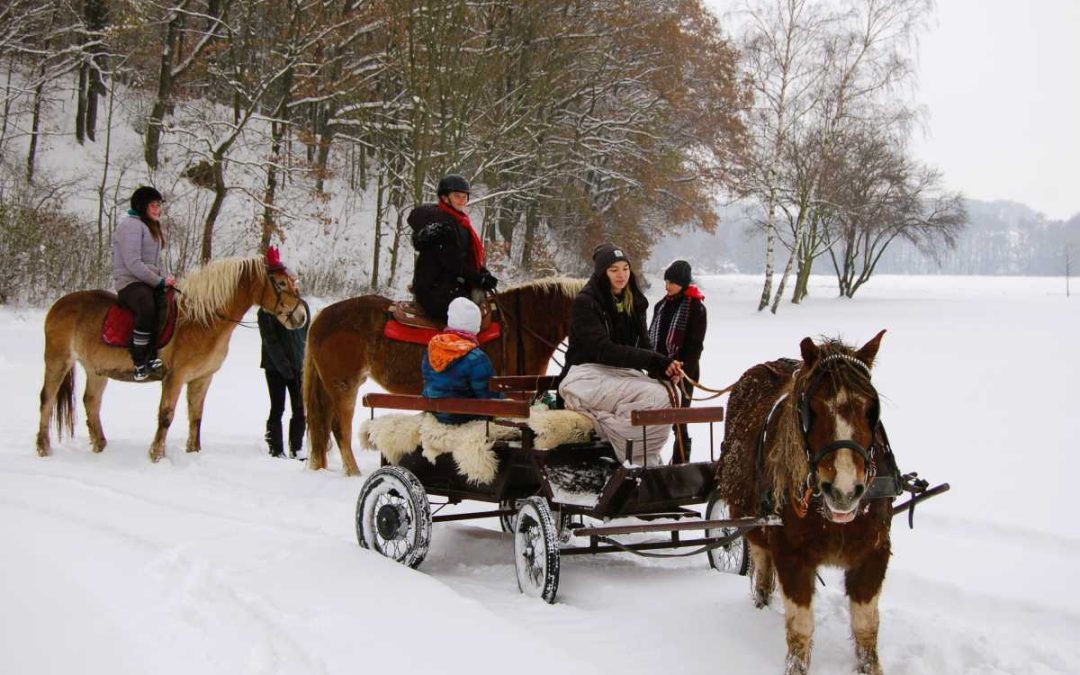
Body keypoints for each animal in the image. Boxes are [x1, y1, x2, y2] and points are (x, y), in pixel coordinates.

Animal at [37, 252, 306, 462]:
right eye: (281, 283)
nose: (301, 316)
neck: (202, 319)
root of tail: (58, 304)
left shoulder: (202, 378)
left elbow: (196, 415)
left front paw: (194, 452)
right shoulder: (175, 377)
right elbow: (166, 414)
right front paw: (156, 454)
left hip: (96, 369)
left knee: (91, 401)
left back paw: (99, 445)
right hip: (58, 360)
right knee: (47, 399)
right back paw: (43, 447)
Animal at [352, 373, 946, 604]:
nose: (849, 487)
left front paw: (725, 552)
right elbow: (541, 536)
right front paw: (535, 567)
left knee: (515, 502)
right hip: (405, 472)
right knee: (404, 495)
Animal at [721, 330, 889, 673]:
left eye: (871, 409)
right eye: (812, 409)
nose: (843, 491)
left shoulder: (874, 552)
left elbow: (866, 626)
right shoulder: (791, 554)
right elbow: (800, 626)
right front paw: (795, 666)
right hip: (753, 525)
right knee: (761, 563)